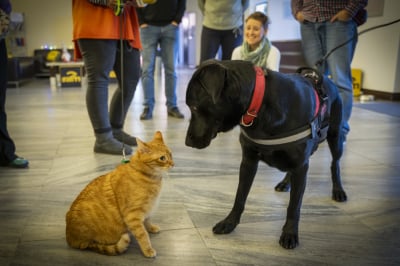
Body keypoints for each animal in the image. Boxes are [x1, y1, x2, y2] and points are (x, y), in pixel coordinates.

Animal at [184, 60, 346, 249]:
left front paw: (290, 233)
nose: (187, 142)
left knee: (335, 164)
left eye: (194, 107)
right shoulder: (248, 162)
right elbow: (240, 196)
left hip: (335, 137)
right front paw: (229, 222)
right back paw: (285, 183)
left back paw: (338, 190)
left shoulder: (301, 166)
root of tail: (328, 81)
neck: (259, 105)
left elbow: (294, 206)